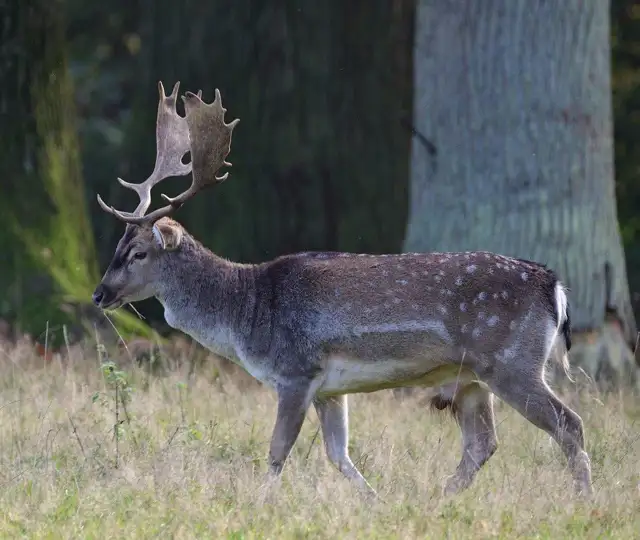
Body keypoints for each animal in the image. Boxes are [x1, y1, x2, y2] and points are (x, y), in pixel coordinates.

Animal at [92, 81, 593, 498]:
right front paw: (375, 503)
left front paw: (258, 504)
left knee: (568, 423)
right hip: (471, 378)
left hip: (511, 362)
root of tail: (555, 286)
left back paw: (584, 500)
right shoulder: (330, 389)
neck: (247, 314)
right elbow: (339, 456)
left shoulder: (295, 371)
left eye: (138, 253)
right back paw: (438, 500)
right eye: (118, 245)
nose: (99, 294)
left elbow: (277, 453)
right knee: (482, 443)